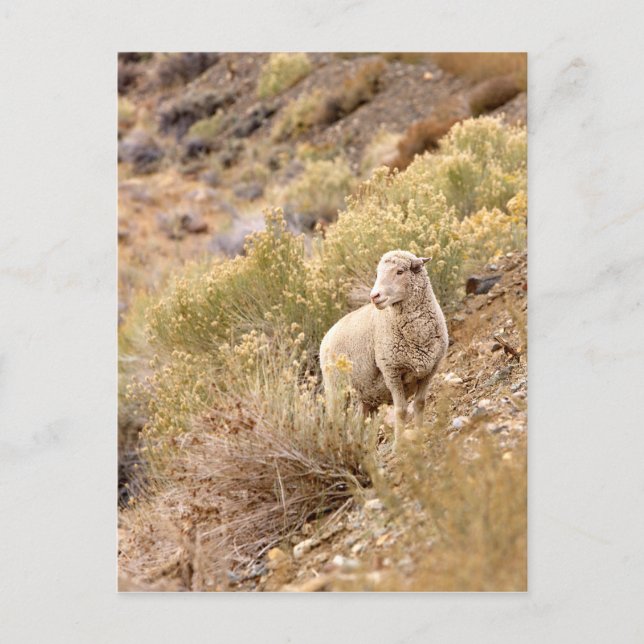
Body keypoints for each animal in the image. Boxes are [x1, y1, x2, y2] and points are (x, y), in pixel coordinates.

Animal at [320, 250, 449, 450]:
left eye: (400, 271)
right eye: (378, 273)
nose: (375, 296)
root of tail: (326, 335)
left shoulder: (429, 370)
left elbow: (420, 404)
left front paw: (420, 438)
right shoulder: (391, 371)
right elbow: (401, 411)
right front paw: (399, 446)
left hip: (366, 396)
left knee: (359, 425)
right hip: (337, 390)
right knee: (335, 421)